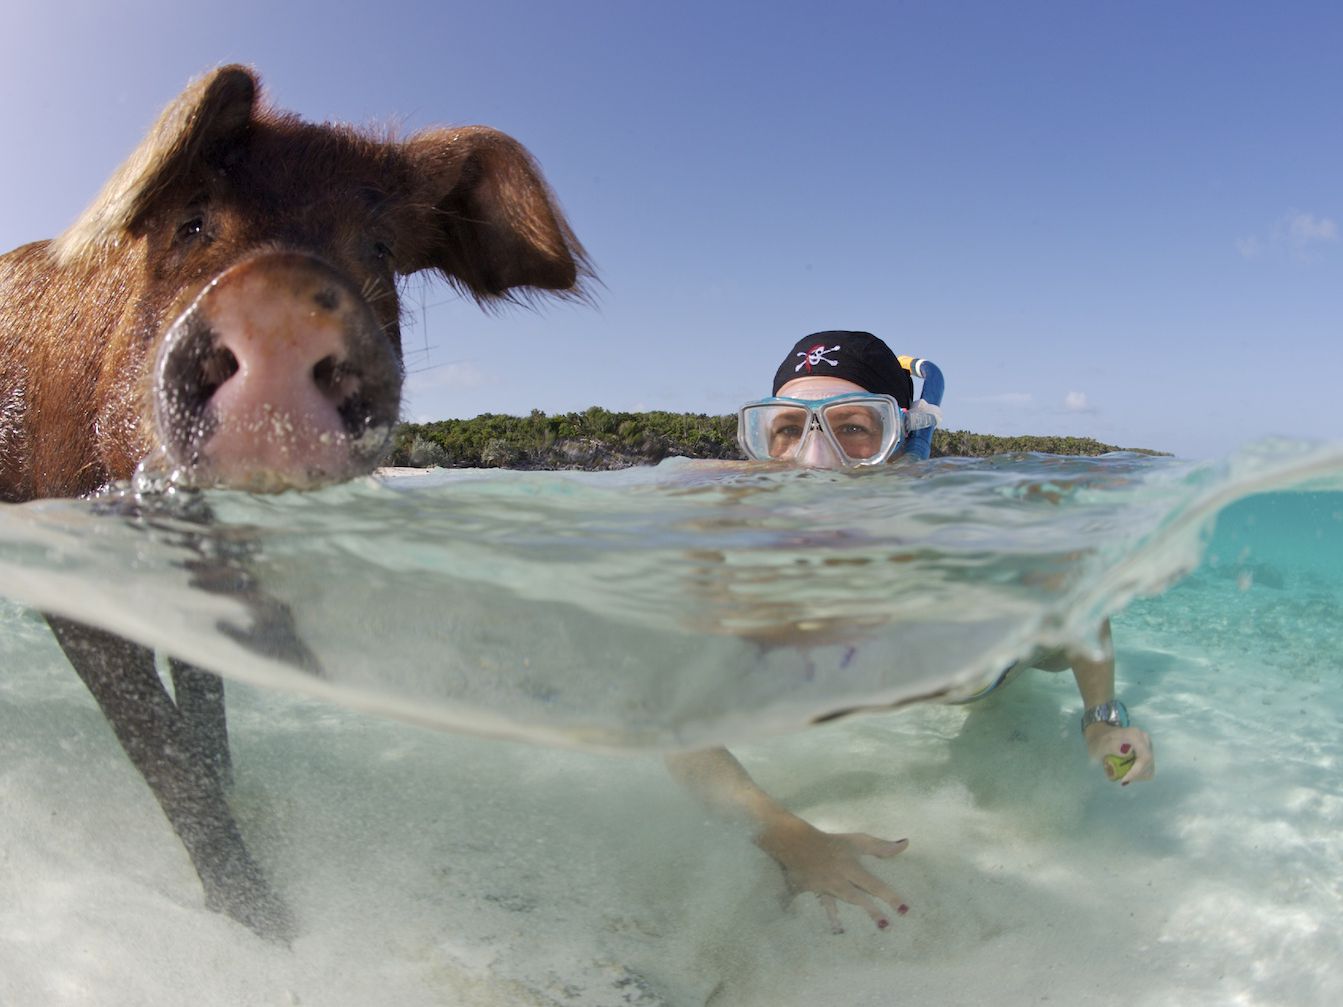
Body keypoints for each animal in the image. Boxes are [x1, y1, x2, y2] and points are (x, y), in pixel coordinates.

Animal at [0, 65, 589, 939]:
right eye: (191, 221)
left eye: (378, 247)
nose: (278, 295)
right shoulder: (66, 544)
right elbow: (158, 744)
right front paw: (267, 927)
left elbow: (203, 695)